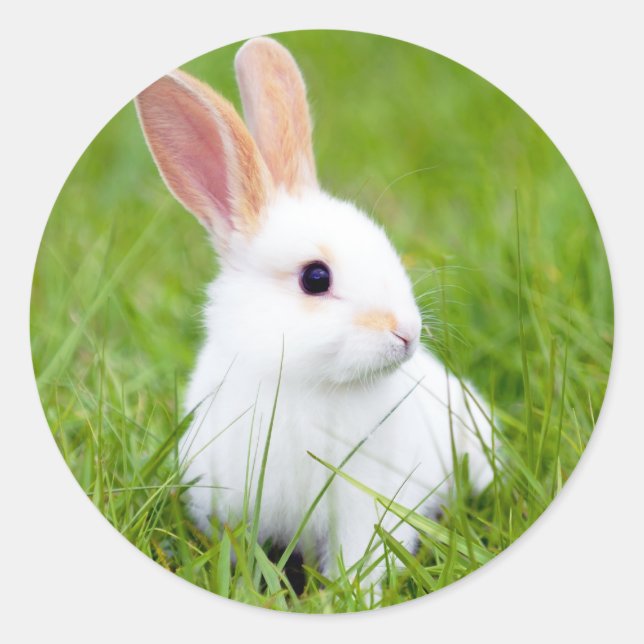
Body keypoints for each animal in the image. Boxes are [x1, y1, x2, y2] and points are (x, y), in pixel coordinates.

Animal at [135, 36, 494, 590]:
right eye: (316, 279)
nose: (407, 334)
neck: (303, 382)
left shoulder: (365, 501)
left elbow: (361, 554)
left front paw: (354, 594)